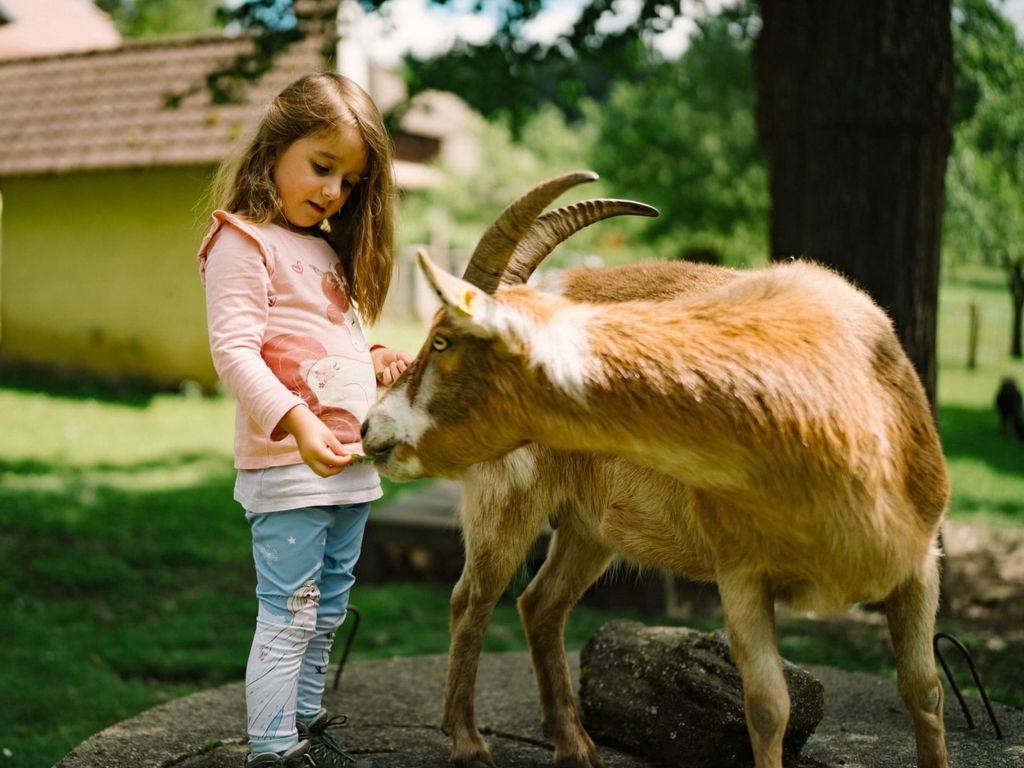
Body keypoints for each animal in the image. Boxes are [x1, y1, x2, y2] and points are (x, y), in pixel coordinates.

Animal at [361, 173, 950, 768]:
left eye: (442, 340)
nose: (371, 428)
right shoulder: (741, 573)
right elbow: (768, 706)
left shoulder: (920, 562)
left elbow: (923, 690)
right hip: (506, 495)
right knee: (472, 599)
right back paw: (469, 744)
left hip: (589, 526)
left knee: (541, 602)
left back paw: (575, 746)